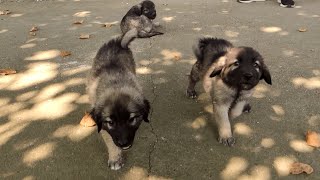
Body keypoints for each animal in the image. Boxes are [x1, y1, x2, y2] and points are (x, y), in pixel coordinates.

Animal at [87, 30, 151, 169]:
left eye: (132, 119)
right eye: (111, 122)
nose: (123, 143)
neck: (116, 84)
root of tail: (117, 42)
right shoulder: (104, 127)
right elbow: (110, 140)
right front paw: (115, 158)